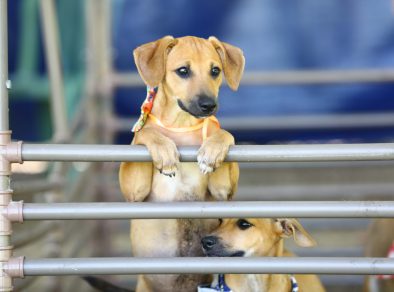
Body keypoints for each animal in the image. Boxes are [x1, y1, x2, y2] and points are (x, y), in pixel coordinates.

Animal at [118, 36, 245, 292]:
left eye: (215, 71)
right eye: (183, 71)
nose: (209, 105)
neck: (182, 124)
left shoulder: (222, 191)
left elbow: (224, 134)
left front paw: (213, 149)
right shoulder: (133, 193)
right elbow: (144, 133)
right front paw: (163, 150)